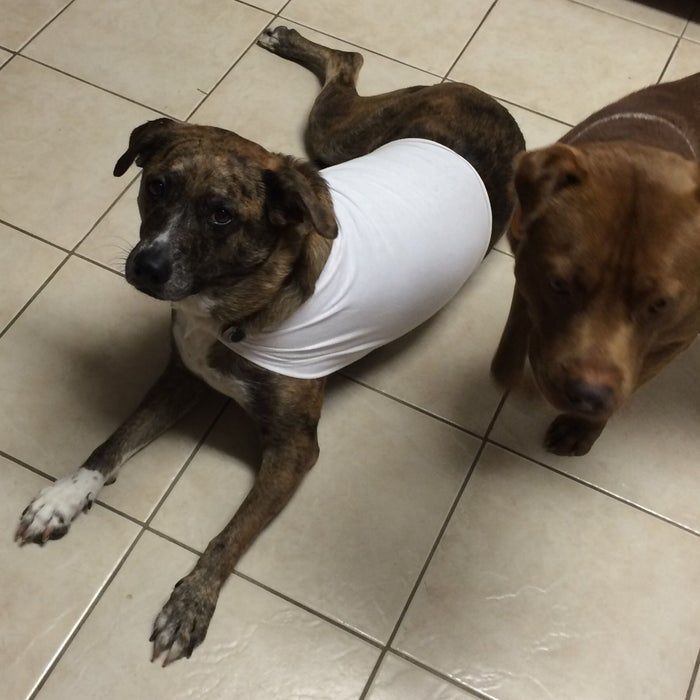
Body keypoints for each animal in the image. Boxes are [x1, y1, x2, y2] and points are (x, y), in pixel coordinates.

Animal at [15, 26, 524, 660]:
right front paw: (64, 495)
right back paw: (289, 38)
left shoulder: (294, 449)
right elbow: (111, 444)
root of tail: (491, 101)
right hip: (339, 144)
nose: (146, 267)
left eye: (222, 216)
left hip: (336, 136)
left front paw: (193, 599)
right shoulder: (181, 377)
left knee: (349, 64)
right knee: (346, 62)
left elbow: (232, 534)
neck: (239, 303)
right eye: (156, 186)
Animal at [492, 71, 700, 454]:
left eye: (660, 304)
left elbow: (633, 380)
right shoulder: (527, 271)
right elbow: (508, 353)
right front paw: (520, 377)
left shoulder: (673, 340)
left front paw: (581, 427)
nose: (588, 394)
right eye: (558, 284)